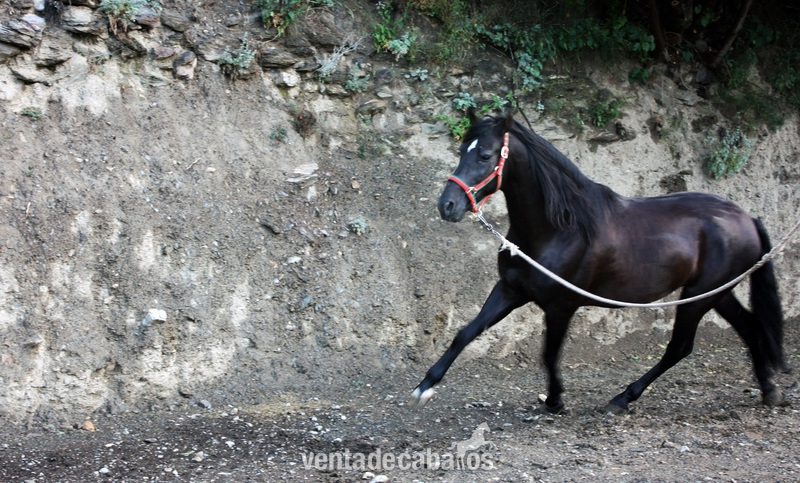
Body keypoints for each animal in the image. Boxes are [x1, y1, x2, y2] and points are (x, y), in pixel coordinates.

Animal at [411, 109, 785, 414]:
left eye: (485, 155)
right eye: (461, 150)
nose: (447, 205)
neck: (558, 228)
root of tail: (747, 218)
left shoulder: (560, 306)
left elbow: (549, 353)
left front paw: (555, 401)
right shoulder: (510, 290)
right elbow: (466, 332)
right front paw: (425, 386)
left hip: (699, 297)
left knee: (679, 347)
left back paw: (622, 399)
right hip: (717, 293)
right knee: (749, 326)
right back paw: (768, 390)